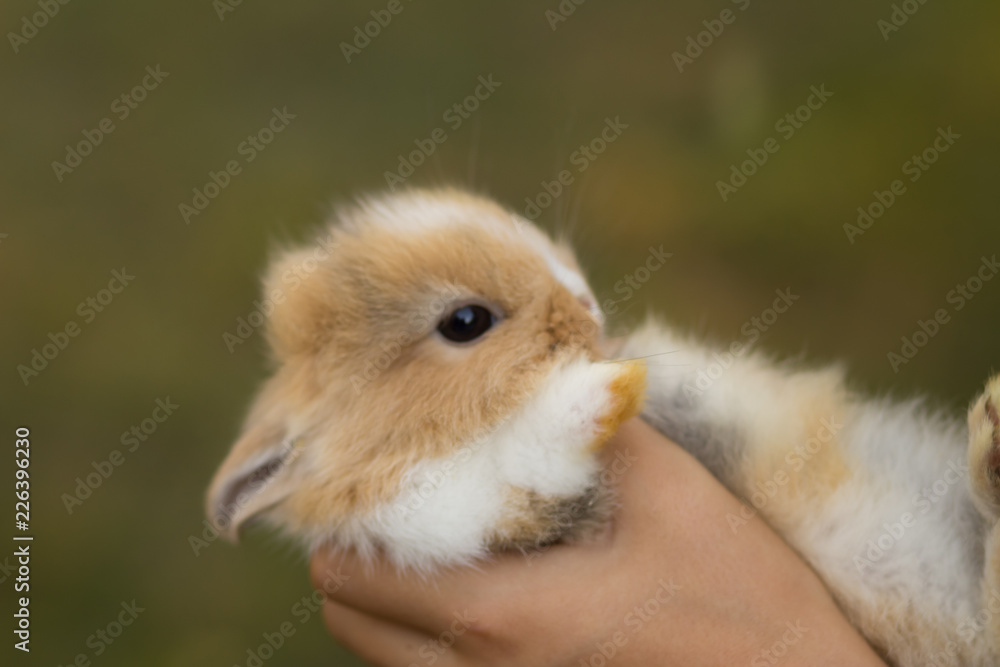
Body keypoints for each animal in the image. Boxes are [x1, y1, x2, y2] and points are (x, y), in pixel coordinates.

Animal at [208, 187, 1000, 666]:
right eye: (465, 322)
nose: (588, 305)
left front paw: (624, 371)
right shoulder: (485, 514)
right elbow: (524, 458)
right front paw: (610, 386)